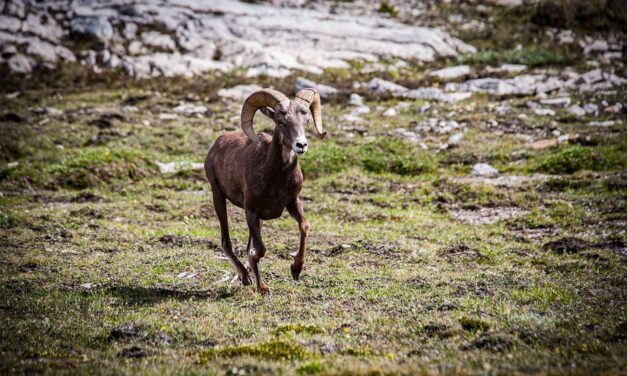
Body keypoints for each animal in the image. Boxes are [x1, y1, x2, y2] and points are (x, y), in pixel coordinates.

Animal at [205, 88, 328, 294]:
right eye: (281, 122)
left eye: (306, 121)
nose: (301, 145)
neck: (275, 177)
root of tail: (216, 145)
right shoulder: (251, 212)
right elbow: (259, 250)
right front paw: (262, 284)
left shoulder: (292, 202)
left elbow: (304, 227)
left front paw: (296, 269)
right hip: (218, 197)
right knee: (226, 242)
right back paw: (246, 277)